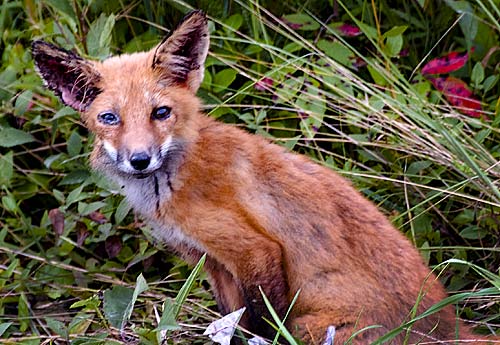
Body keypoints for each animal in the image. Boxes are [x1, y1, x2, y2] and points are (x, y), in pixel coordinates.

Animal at [31, 10, 496, 344]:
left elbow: (262, 324)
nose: (140, 160)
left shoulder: (256, 251)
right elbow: (232, 319)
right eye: (110, 119)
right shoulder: (212, 262)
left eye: (160, 112)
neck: (175, 180)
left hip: (319, 327)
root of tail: (446, 326)